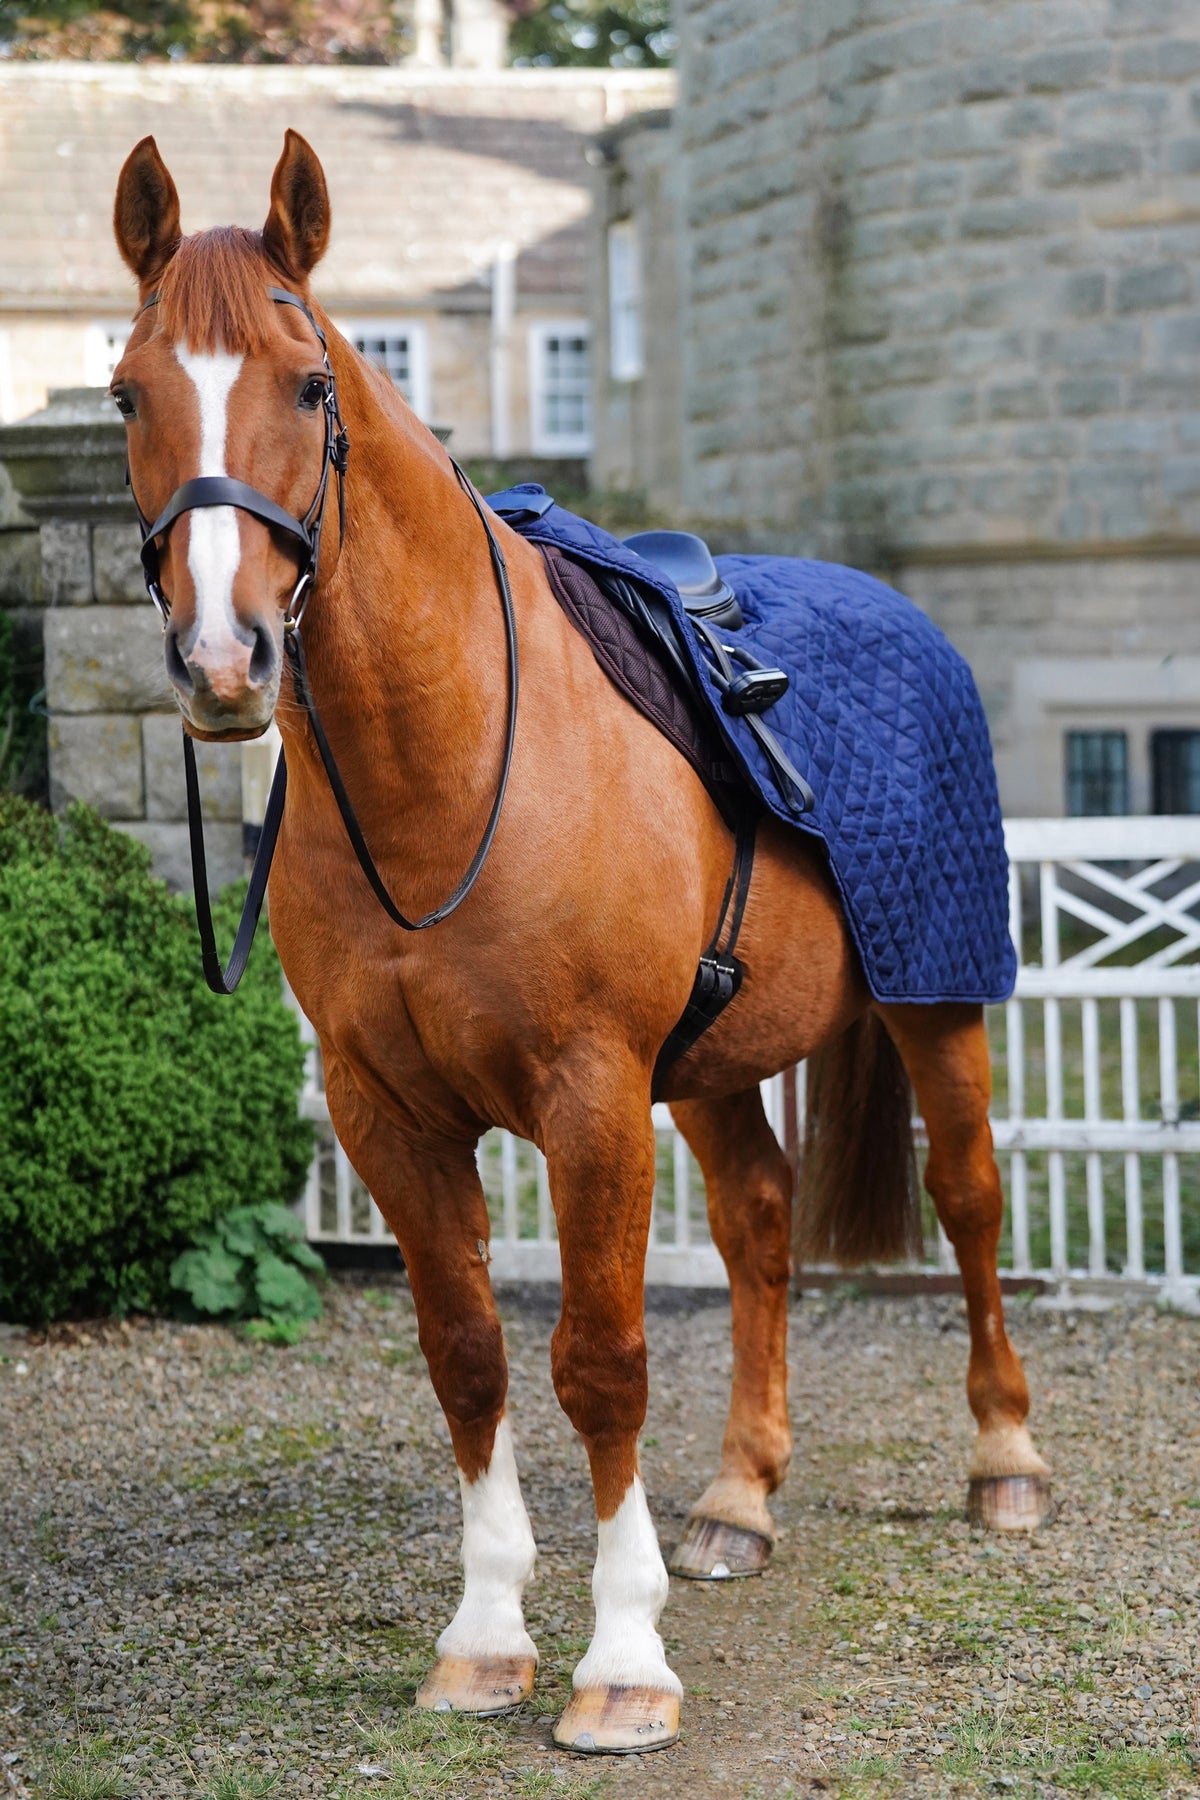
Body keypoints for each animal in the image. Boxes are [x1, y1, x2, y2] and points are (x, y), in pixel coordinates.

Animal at [109, 129, 1051, 1757]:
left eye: (311, 388)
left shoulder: (590, 1095)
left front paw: (623, 1661)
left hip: (938, 1003)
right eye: (124, 392)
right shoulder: (389, 1111)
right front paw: (487, 1636)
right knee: (756, 1224)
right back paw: (739, 1498)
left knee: (973, 1201)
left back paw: (1003, 1463)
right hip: (716, 1063)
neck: (449, 764)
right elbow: (469, 1355)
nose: (226, 662)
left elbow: (601, 1366)